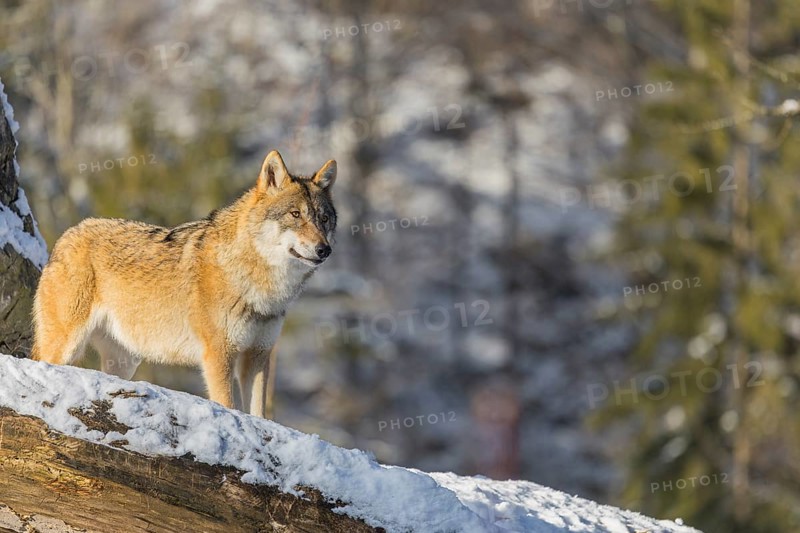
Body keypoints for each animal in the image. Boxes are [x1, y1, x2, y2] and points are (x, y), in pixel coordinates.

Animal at [31, 150, 337, 417]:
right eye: (295, 215)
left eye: (324, 219)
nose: (325, 250)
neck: (261, 286)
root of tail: (66, 235)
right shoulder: (219, 355)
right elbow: (229, 405)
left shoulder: (257, 356)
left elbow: (259, 414)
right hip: (65, 346)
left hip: (124, 362)